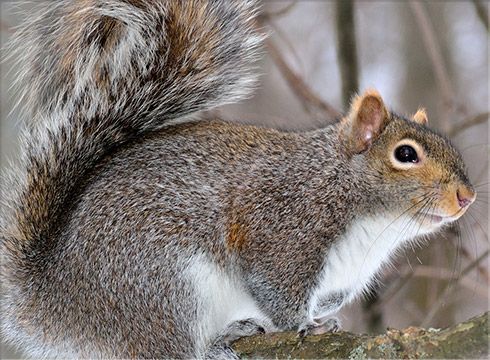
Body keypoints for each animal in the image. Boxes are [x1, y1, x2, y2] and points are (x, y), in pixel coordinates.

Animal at [0, 0, 474, 360]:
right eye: (405, 155)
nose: (466, 196)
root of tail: (57, 302)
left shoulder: (342, 279)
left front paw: (322, 318)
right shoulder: (283, 227)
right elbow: (275, 289)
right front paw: (307, 325)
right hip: (161, 286)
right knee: (170, 349)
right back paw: (211, 348)